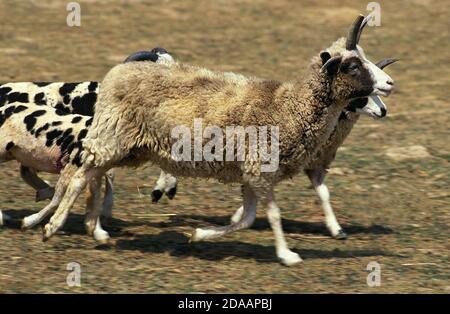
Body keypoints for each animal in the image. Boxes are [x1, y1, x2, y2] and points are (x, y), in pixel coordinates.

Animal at [40, 15, 396, 264]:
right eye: (353, 65)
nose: (390, 83)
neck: (290, 106)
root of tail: (118, 72)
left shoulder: (252, 174)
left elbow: (248, 219)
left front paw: (200, 235)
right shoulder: (259, 169)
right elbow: (272, 215)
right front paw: (288, 255)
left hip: (129, 148)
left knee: (92, 175)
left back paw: (94, 229)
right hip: (113, 138)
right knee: (80, 176)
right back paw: (52, 226)